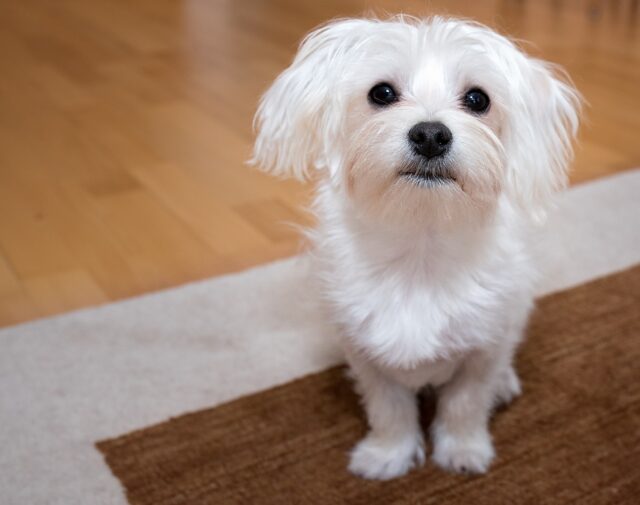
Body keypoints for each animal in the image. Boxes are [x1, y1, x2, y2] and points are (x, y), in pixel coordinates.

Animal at [252, 15, 584, 478]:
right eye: (382, 93)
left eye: (478, 99)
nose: (430, 134)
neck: (420, 246)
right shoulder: (365, 353)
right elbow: (388, 409)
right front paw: (386, 455)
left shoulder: (484, 349)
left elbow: (465, 404)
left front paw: (463, 451)